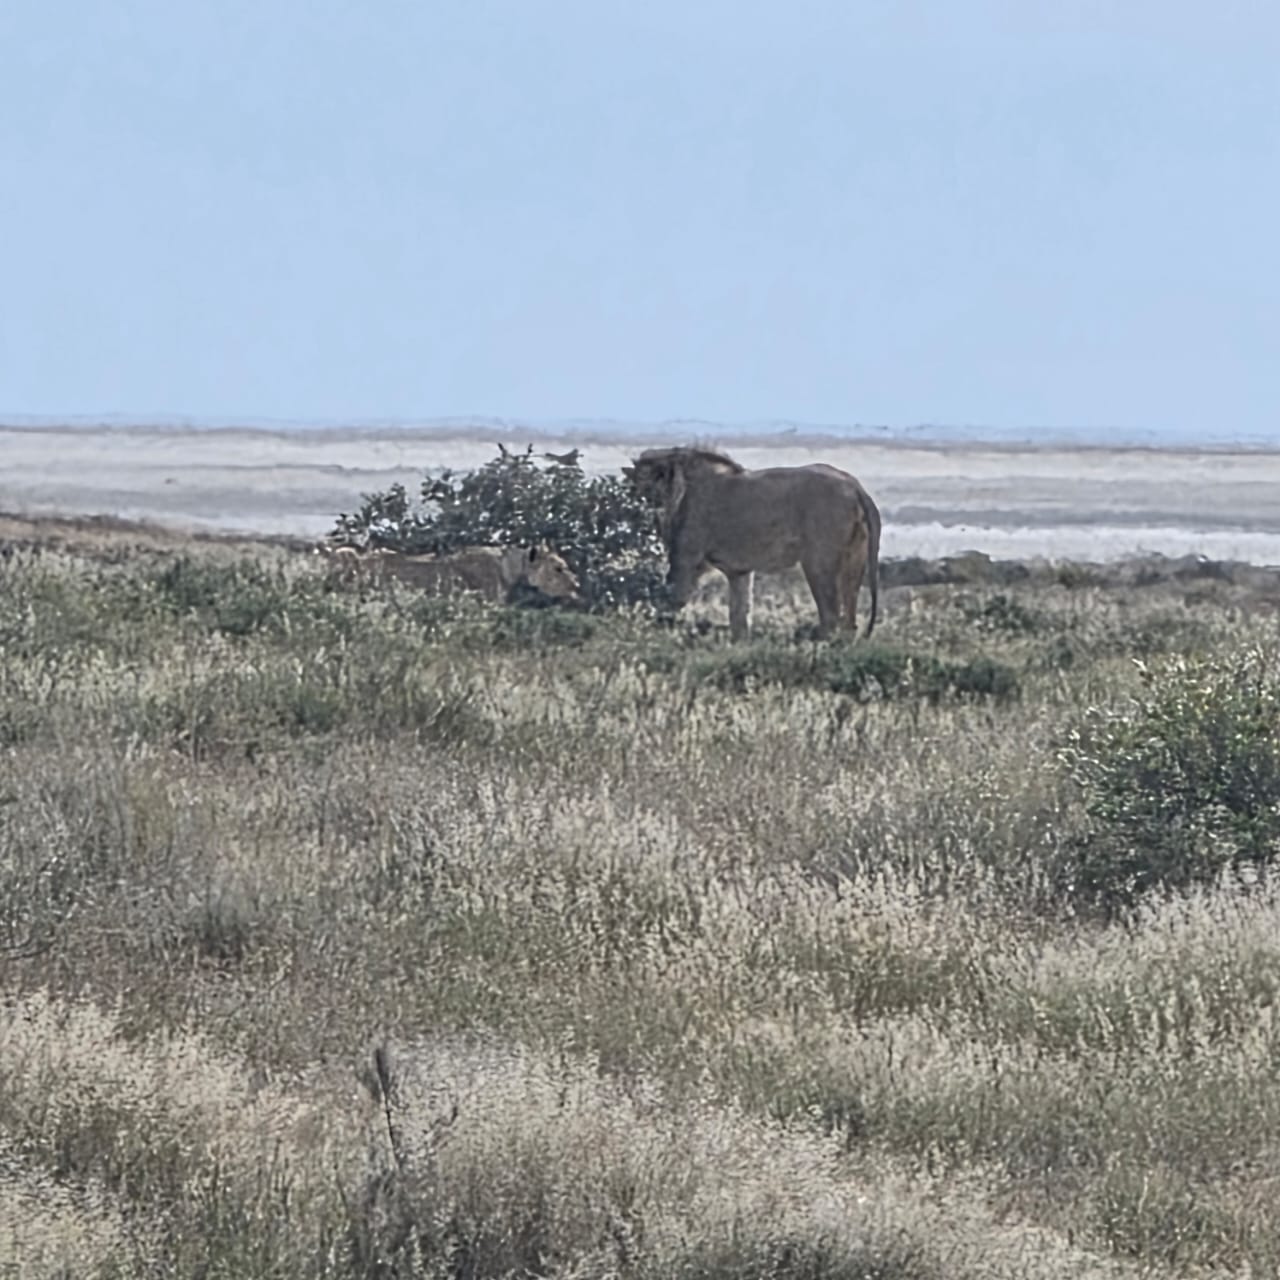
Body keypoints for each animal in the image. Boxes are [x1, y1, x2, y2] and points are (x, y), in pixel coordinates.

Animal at [624, 445, 880, 640]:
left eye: (645, 485)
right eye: (635, 485)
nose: (635, 506)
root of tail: (855, 486)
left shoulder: (685, 560)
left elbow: (669, 602)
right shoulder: (739, 571)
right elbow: (739, 615)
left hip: (818, 562)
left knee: (830, 615)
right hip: (854, 559)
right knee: (849, 619)